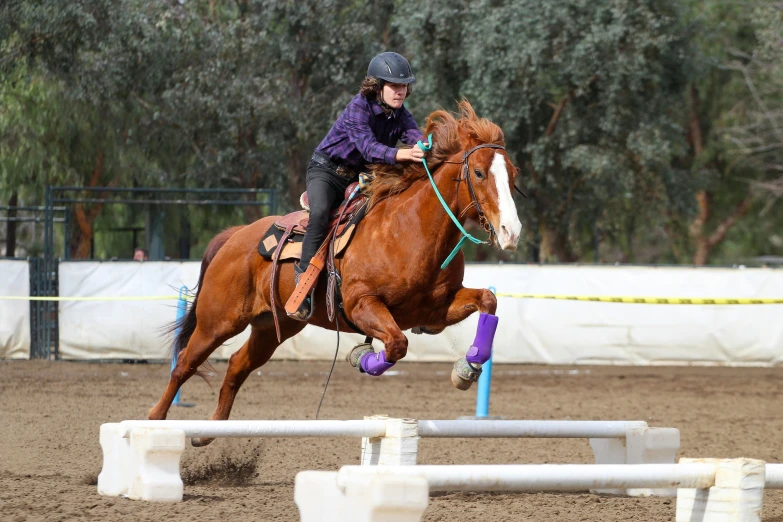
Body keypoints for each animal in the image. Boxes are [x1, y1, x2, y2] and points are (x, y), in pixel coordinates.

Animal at [150, 99, 524, 440]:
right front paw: (362, 357)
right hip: (217, 322)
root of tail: (235, 236)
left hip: (273, 326)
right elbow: (396, 344)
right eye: (479, 172)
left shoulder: (435, 310)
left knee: (237, 366)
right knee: (183, 364)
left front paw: (467, 367)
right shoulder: (362, 305)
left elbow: (487, 301)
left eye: (513, 175)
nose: (512, 231)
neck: (409, 230)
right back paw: (154, 420)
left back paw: (208, 430)